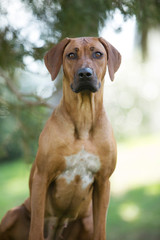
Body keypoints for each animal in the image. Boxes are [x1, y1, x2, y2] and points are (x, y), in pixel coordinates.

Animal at [0, 36, 120, 240]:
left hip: (86, 219)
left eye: (98, 54)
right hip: (13, 213)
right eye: (71, 55)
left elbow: (100, 230)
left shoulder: (103, 182)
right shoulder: (42, 176)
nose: (85, 74)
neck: (83, 120)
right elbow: (36, 229)